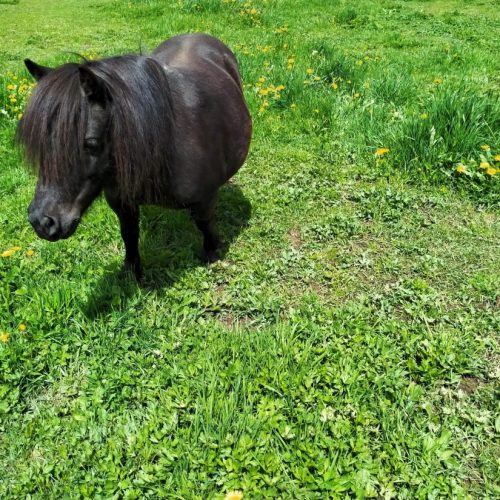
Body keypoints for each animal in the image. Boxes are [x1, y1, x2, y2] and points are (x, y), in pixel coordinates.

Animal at [17, 33, 252, 280]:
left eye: (91, 143)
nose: (42, 222)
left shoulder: (206, 197)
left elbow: (205, 223)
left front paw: (212, 252)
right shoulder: (123, 203)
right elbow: (129, 233)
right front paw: (132, 270)